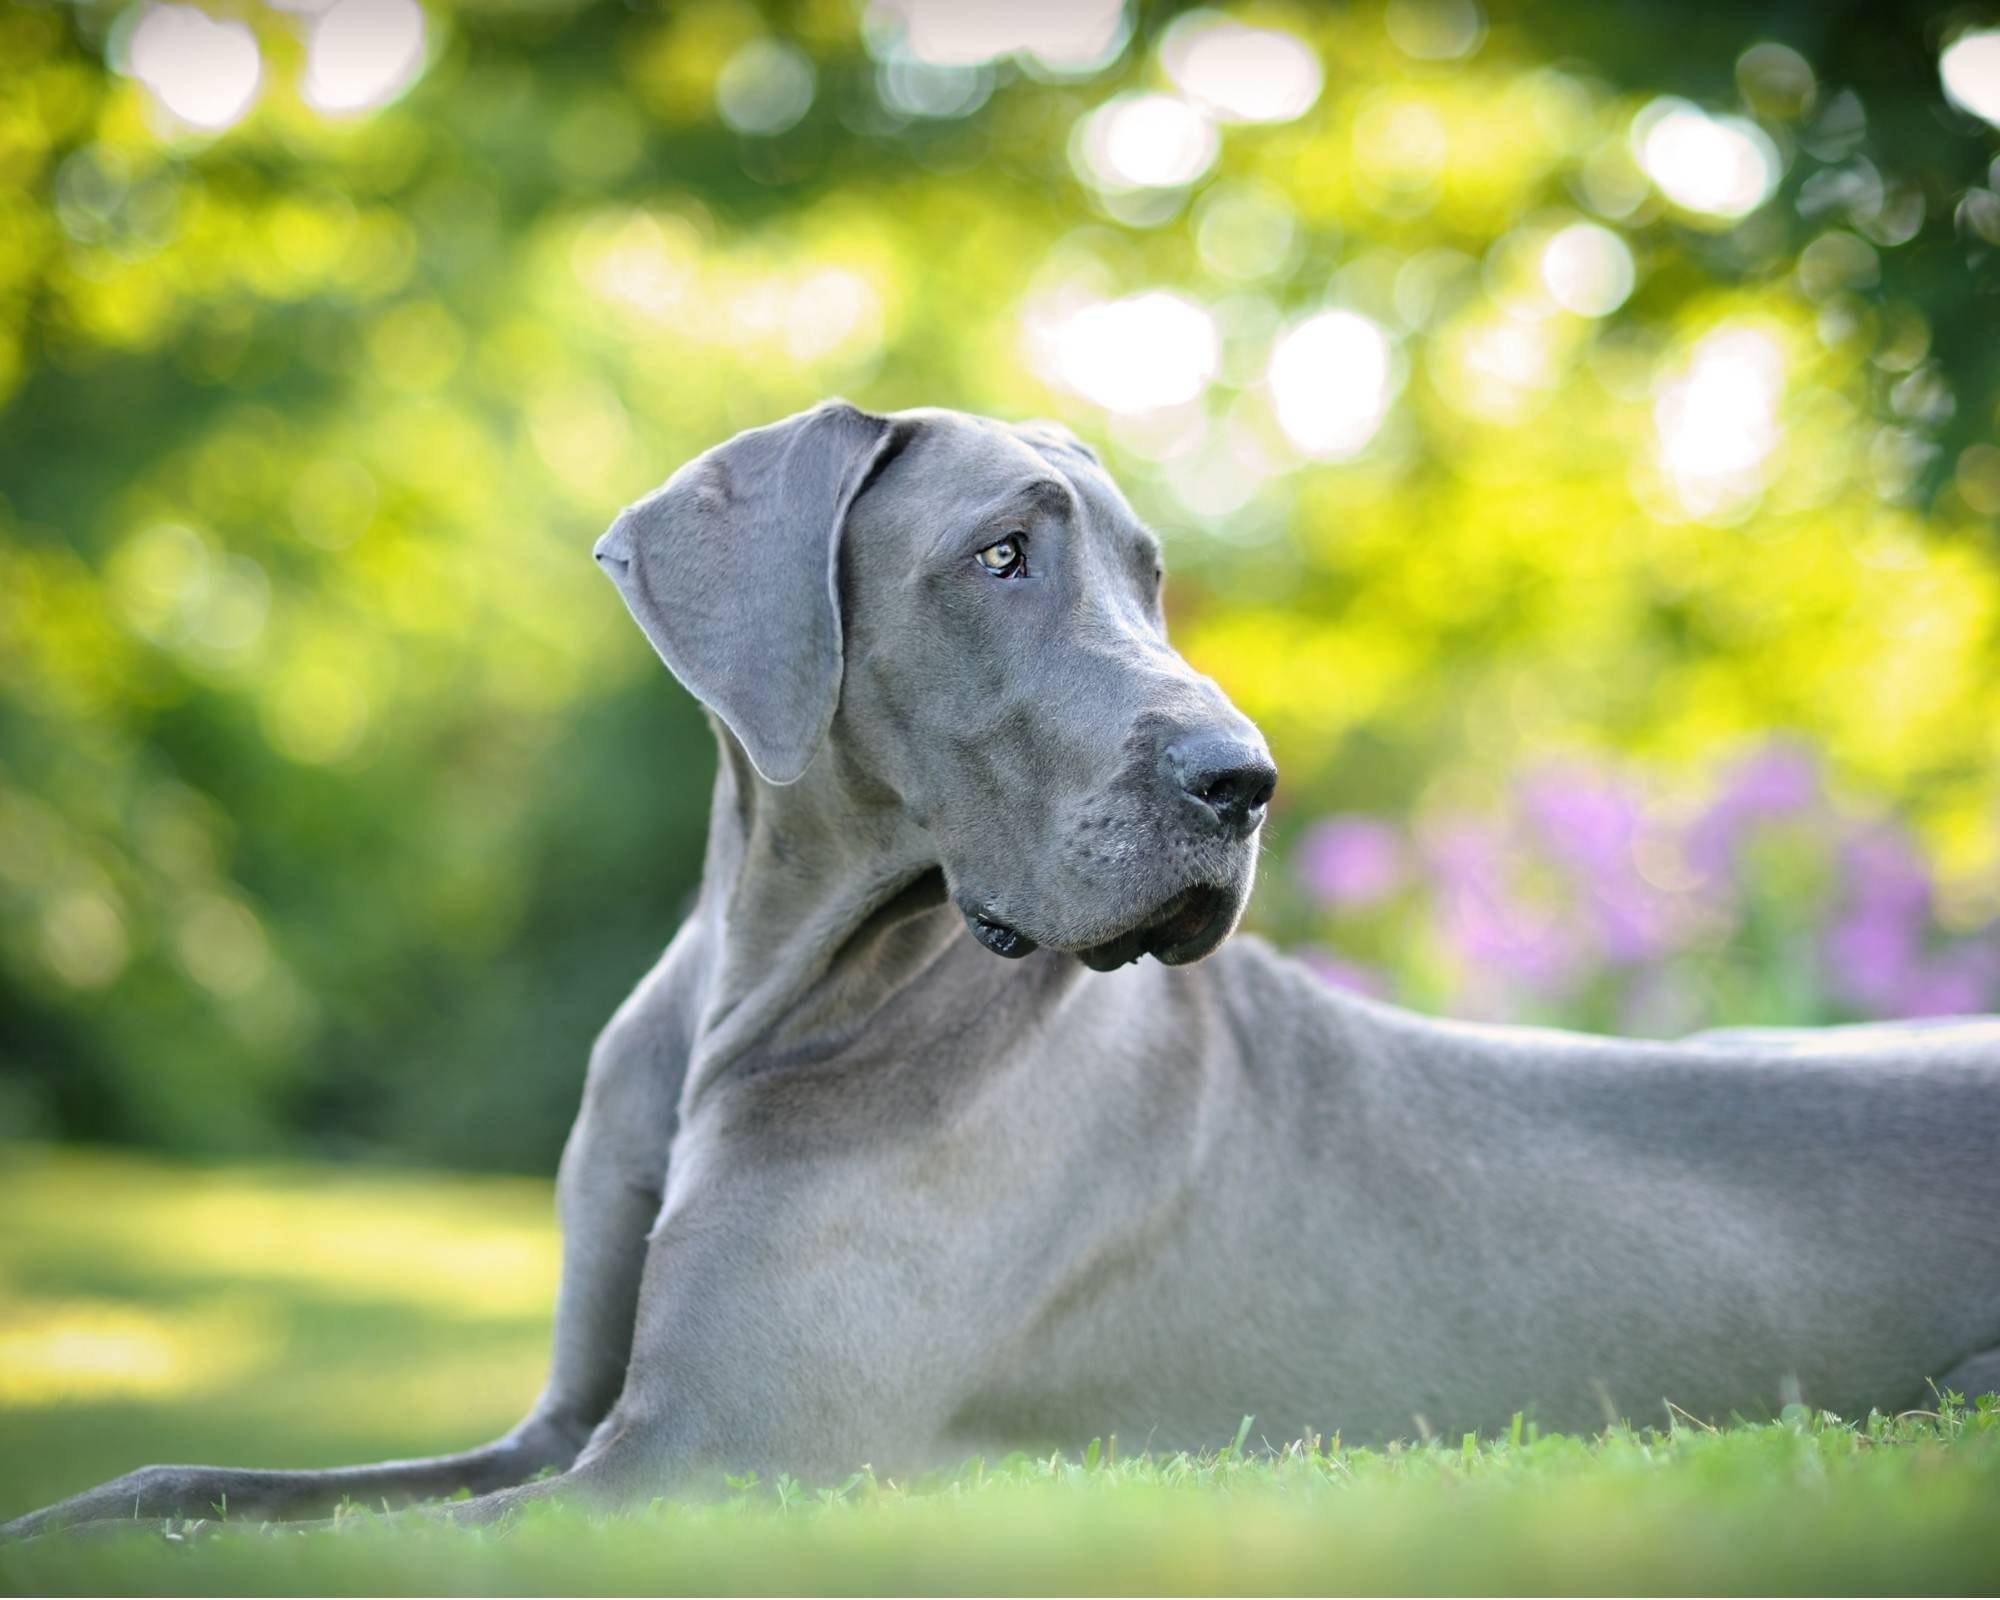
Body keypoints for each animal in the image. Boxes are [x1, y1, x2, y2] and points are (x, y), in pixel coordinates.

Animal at [3, 400, 2000, 1536]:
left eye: (1151, 573)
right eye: (1000, 553)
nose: (1246, 779)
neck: (768, 997)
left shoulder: (693, 1465)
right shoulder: (568, 1427)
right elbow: (198, 1494)